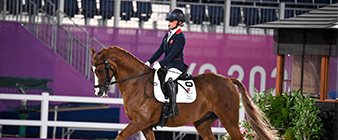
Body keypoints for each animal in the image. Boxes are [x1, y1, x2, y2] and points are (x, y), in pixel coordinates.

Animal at [90, 46, 278, 140]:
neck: (136, 82)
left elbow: (120, 136)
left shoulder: (140, 122)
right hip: (203, 123)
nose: (98, 92)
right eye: (92, 70)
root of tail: (228, 80)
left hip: (229, 121)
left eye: (100, 70)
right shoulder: (145, 126)